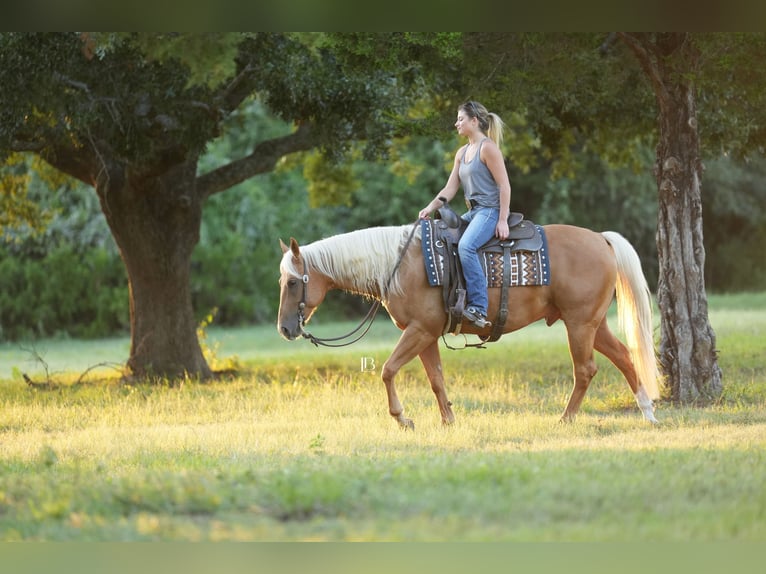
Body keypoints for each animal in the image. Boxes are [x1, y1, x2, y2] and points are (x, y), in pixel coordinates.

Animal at [277, 221, 660, 429]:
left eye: (293, 282)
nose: (284, 329)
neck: (399, 264)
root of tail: (601, 238)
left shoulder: (418, 331)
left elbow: (387, 370)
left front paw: (402, 419)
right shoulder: (426, 334)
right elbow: (435, 379)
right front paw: (448, 421)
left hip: (579, 324)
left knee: (585, 370)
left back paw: (566, 418)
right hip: (592, 323)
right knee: (624, 356)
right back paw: (648, 413)